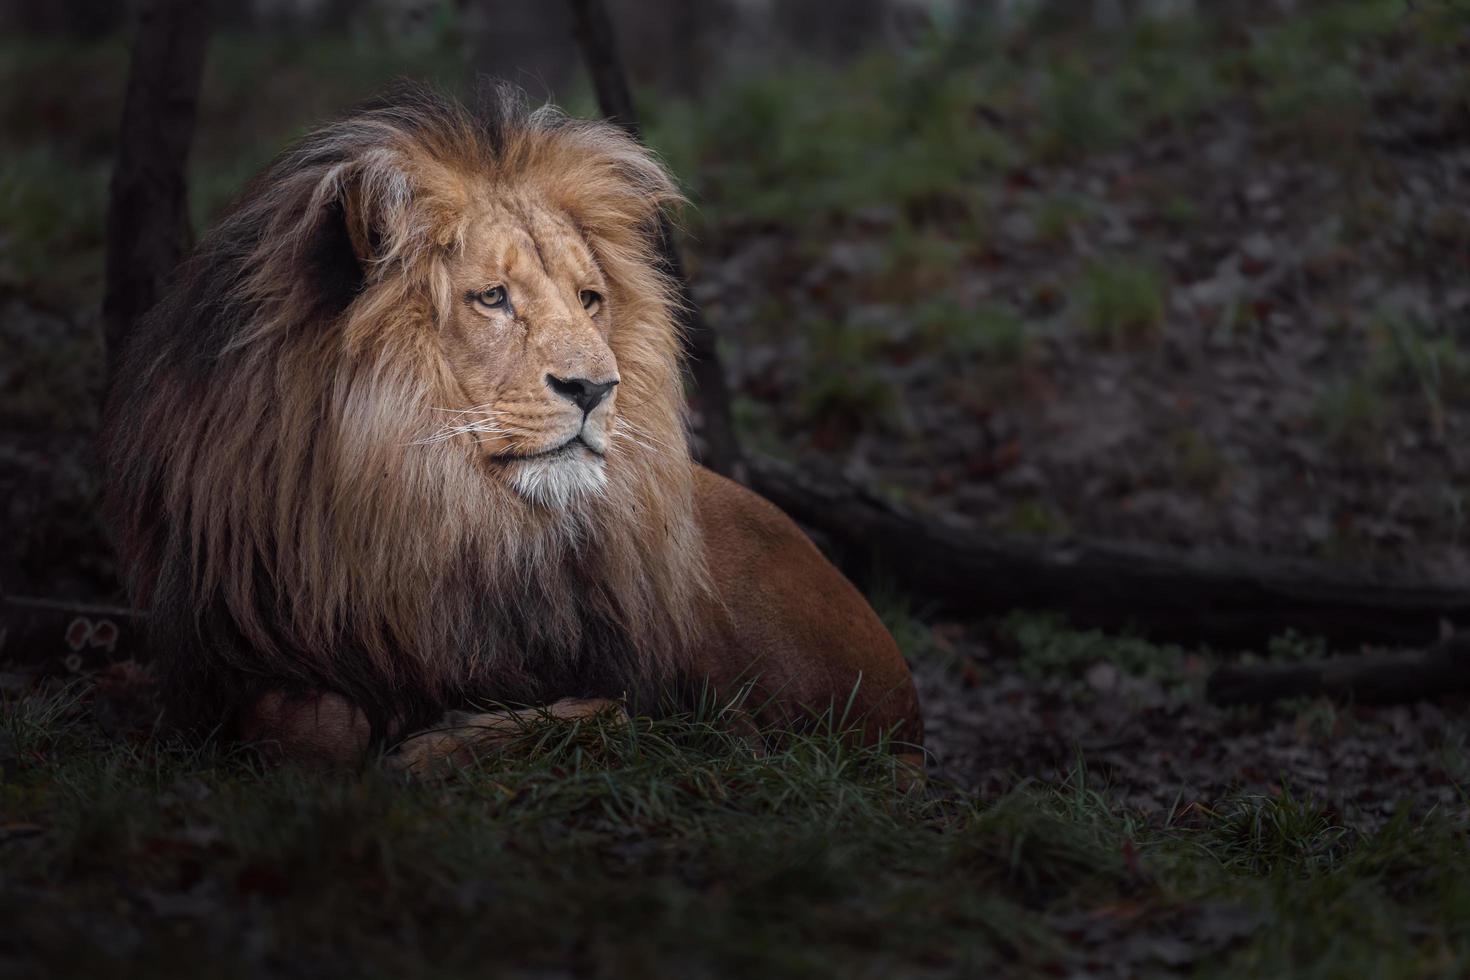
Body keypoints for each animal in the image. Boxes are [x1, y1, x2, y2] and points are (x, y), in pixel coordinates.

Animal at [103, 84, 923, 769]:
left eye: (589, 298)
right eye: (493, 297)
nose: (596, 388)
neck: (427, 509)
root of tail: (913, 711)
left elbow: (619, 705)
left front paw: (430, 745)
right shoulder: (235, 653)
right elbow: (307, 727)